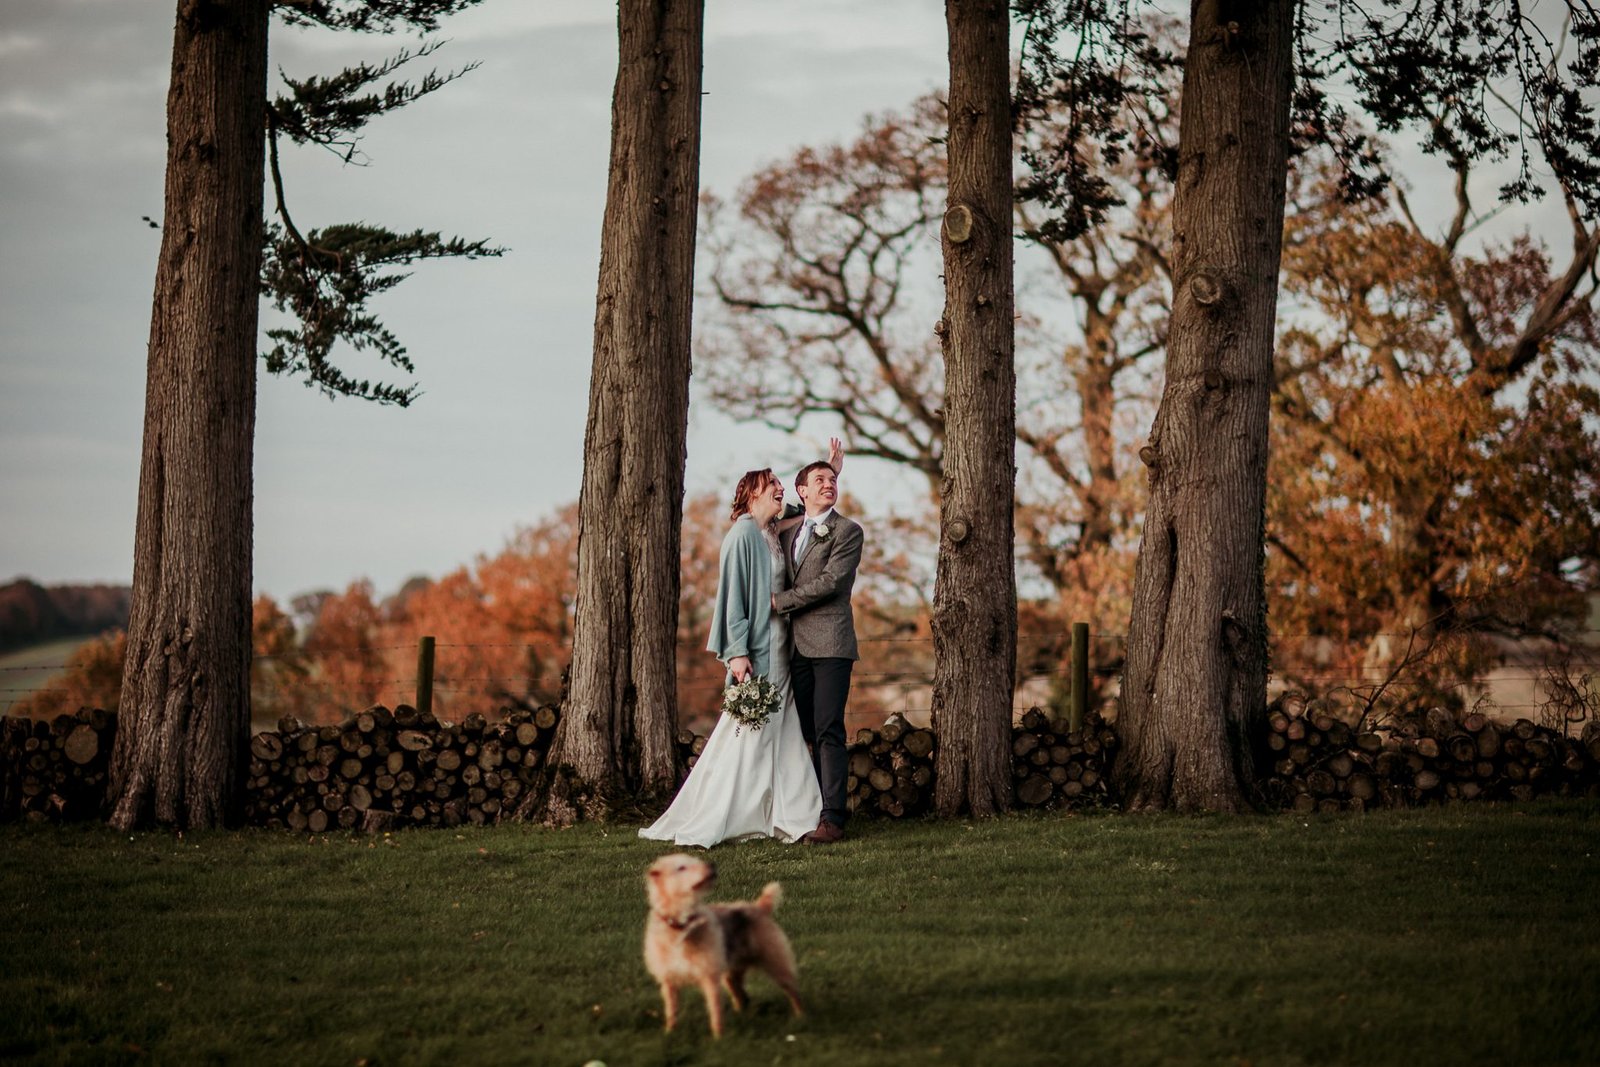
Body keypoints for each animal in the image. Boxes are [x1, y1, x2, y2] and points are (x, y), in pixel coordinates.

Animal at [640, 851, 800, 1036]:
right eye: (681, 867)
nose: (711, 865)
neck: (682, 926)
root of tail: (759, 907)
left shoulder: (709, 977)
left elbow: (715, 1011)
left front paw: (718, 1037)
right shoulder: (669, 981)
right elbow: (672, 1011)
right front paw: (670, 1032)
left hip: (775, 961)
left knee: (793, 991)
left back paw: (801, 1016)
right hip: (732, 972)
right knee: (741, 994)